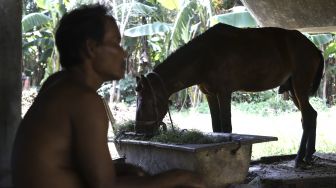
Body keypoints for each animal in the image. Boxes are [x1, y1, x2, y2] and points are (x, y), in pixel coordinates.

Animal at [135, 22, 324, 168]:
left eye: (146, 103)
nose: (139, 133)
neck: (204, 57)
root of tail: (315, 49)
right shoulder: (210, 95)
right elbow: (216, 128)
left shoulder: (224, 92)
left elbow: (226, 127)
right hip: (293, 90)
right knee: (311, 116)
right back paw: (308, 155)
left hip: (299, 86)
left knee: (308, 117)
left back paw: (299, 158)